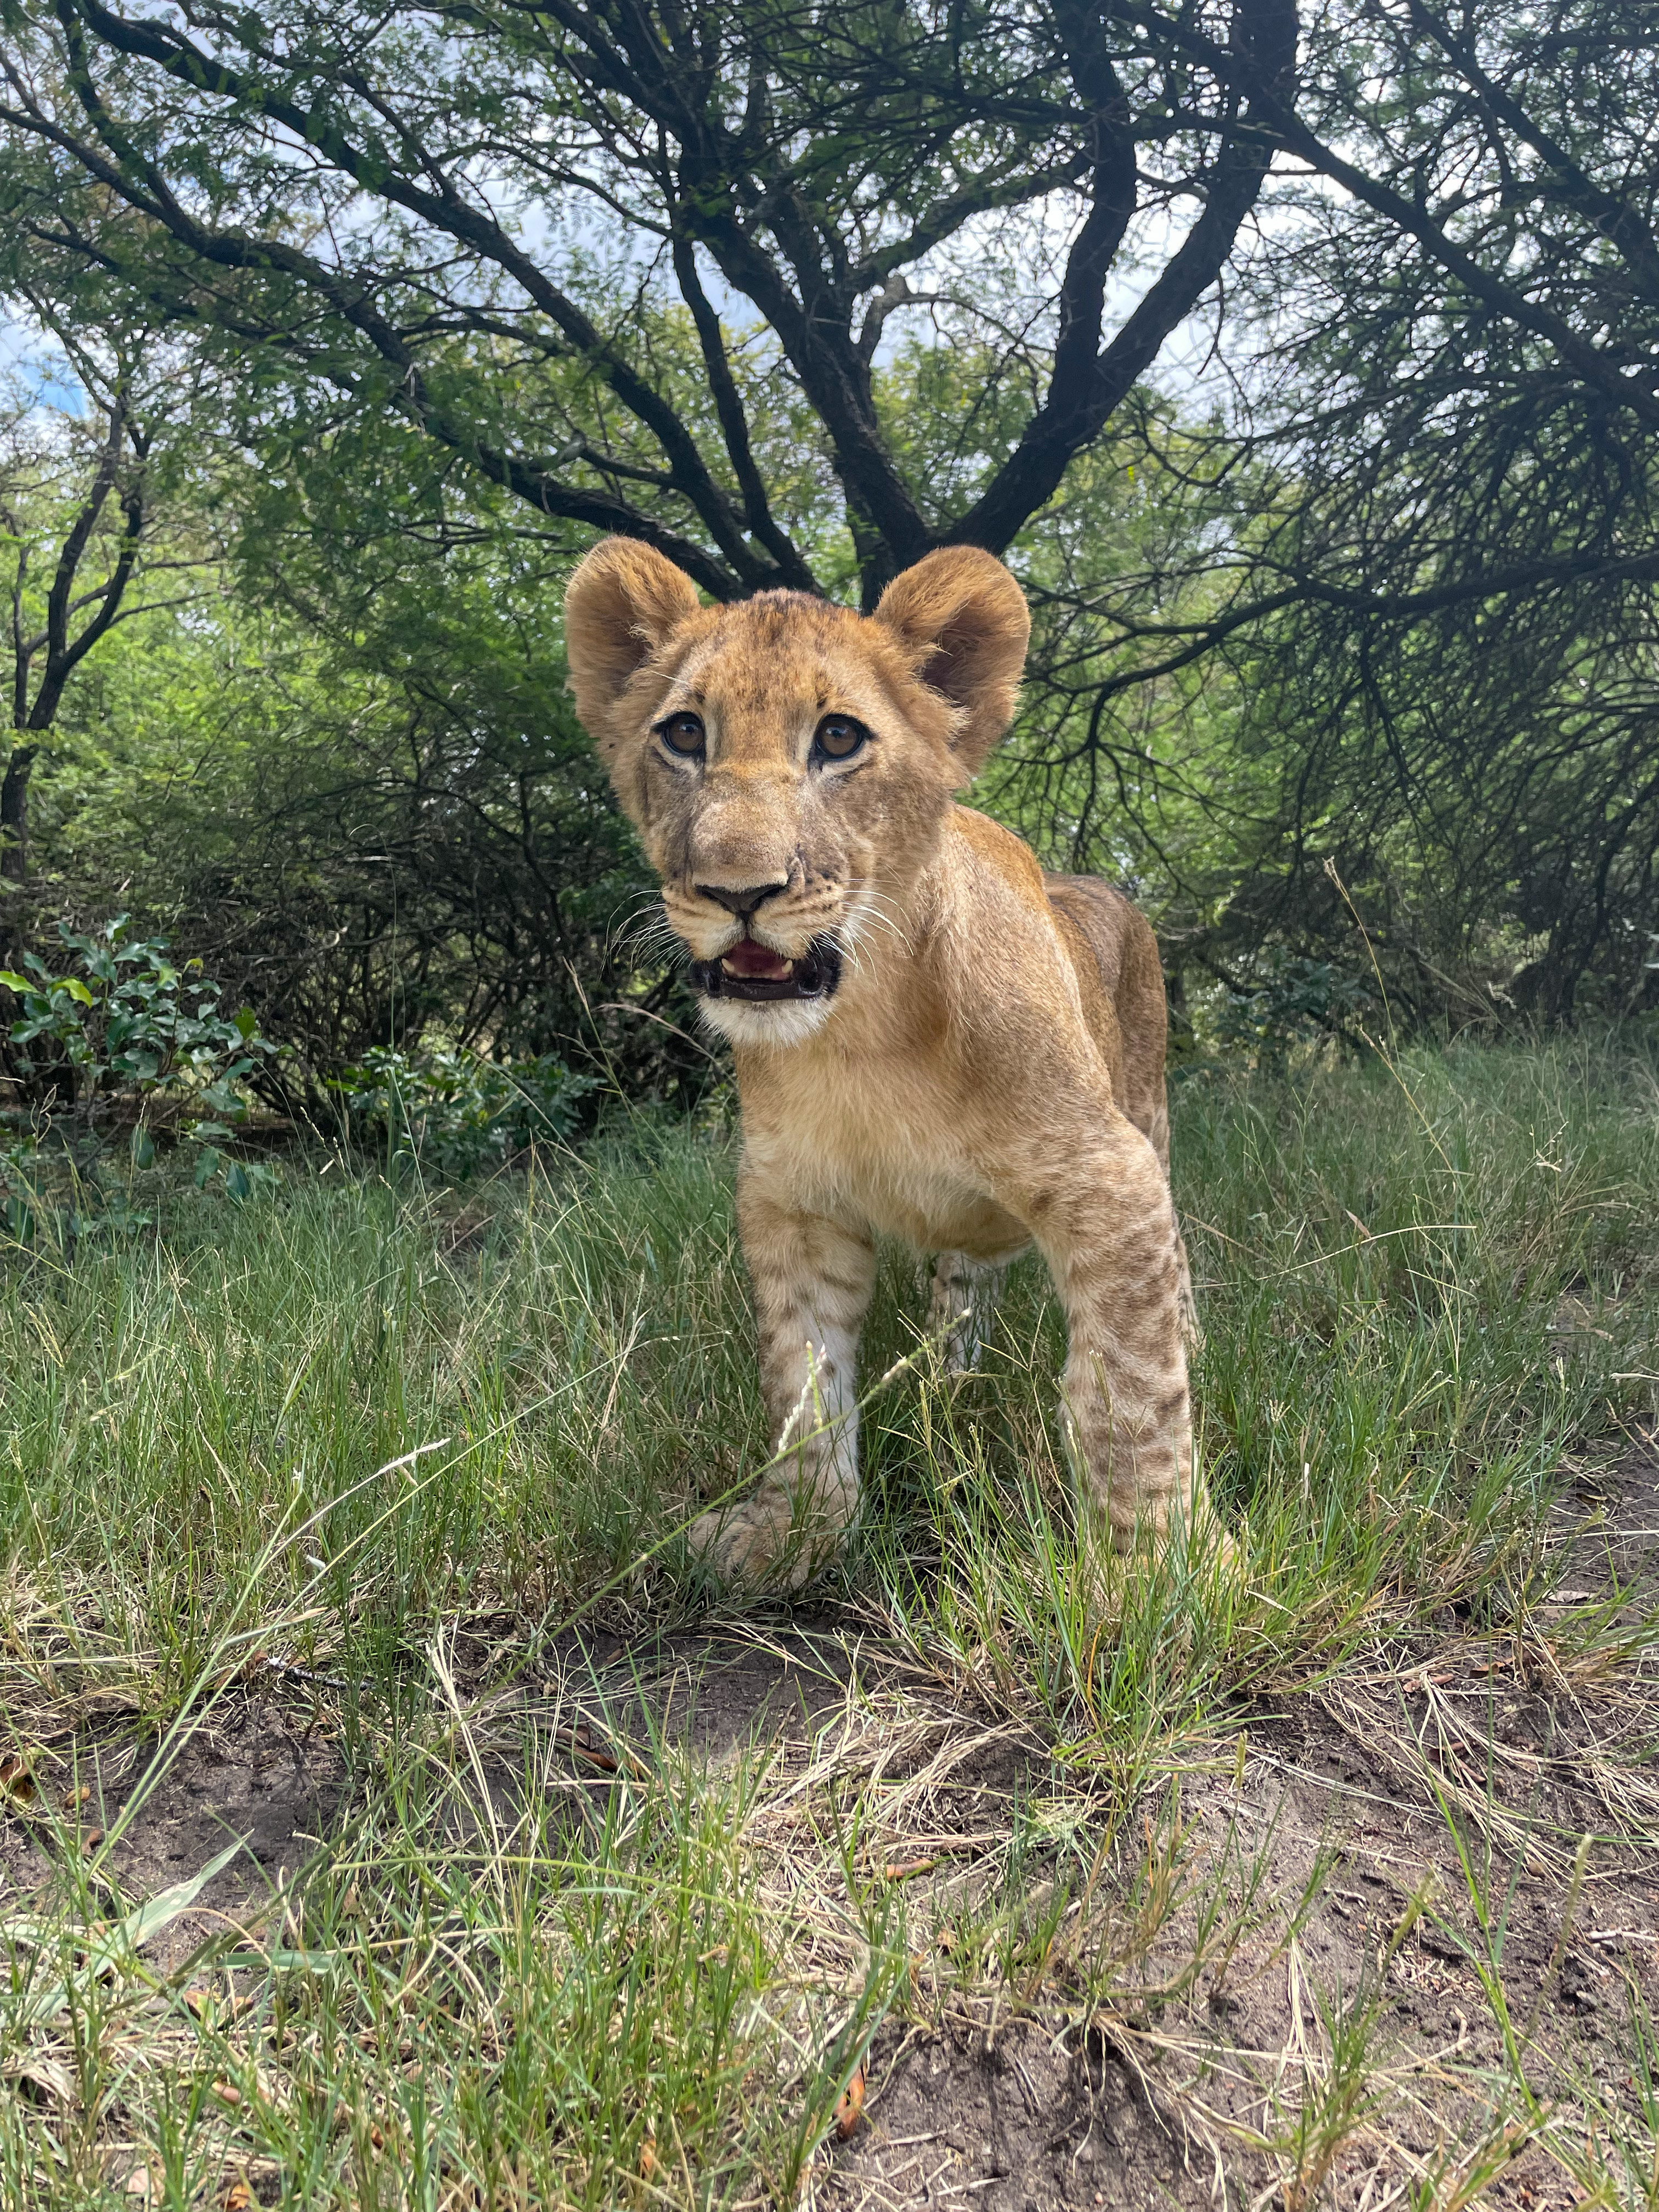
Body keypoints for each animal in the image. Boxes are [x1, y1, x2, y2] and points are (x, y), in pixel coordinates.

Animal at [564, 538, 1215, 1588]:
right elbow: (803, 1382)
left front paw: (1160, 1575)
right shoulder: (791, 1201)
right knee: (961, 1291)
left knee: (1173, 1274)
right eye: (683, 733)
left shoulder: (1105, 1178)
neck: (862, 1031)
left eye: (837, 738)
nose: (736, 891)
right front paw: (793, 1538)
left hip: (1149, 1118)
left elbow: (1128, 1392)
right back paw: (952, 1384)